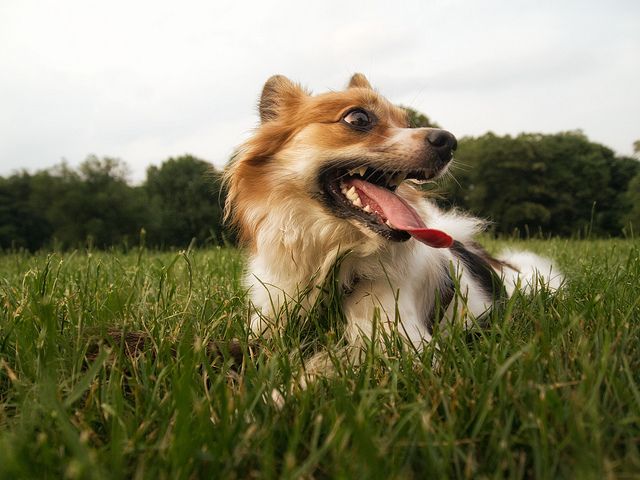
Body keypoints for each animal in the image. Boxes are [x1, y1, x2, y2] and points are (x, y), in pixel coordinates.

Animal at [224, 73, 560, 376]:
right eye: (359, 117)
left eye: (407, 123)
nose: (449, 141)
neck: (333, 262)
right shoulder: (269, 322)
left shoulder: (404, 342)